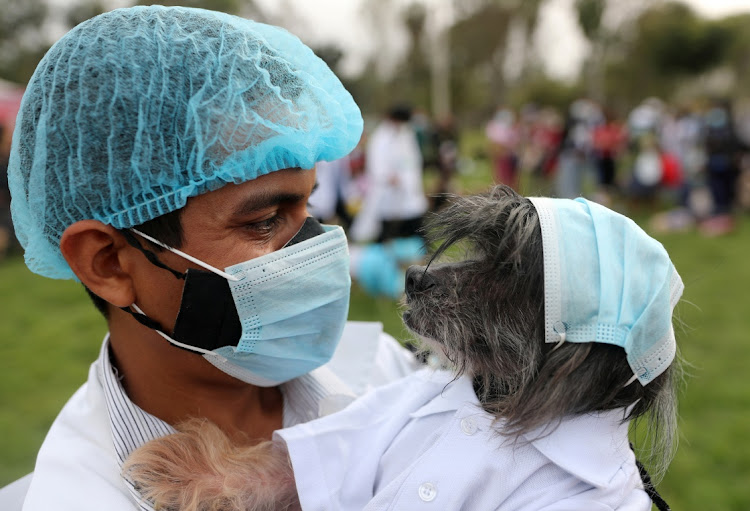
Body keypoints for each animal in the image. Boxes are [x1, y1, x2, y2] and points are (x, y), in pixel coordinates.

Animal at [125, 186, 680, 510]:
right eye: (483, 249)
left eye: (511, 270)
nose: (413, 276)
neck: (492, 410)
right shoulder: (362, 442)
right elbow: (285, 468)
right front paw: (190, 468)